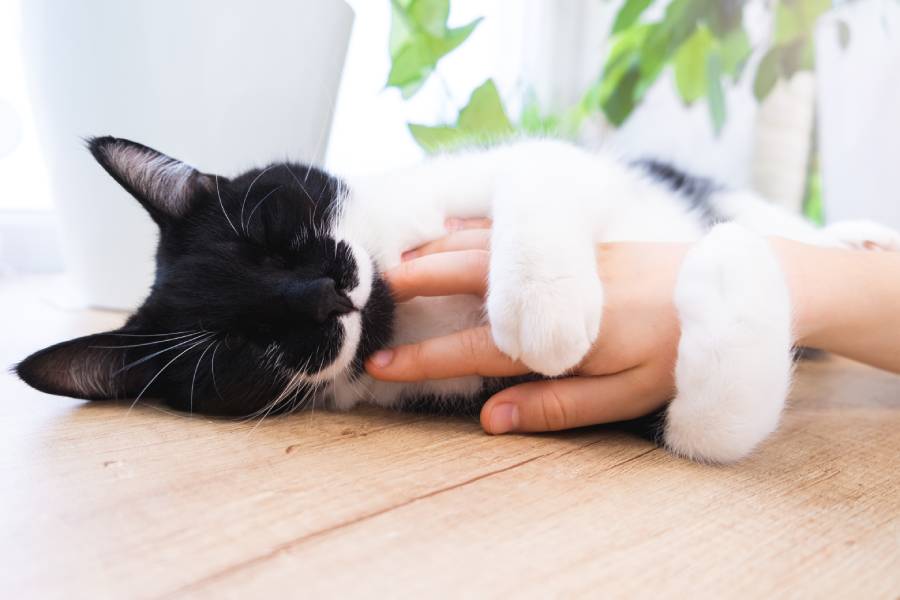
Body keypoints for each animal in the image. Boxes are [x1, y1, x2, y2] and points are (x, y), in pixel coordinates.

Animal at [14, 137, 900, 464]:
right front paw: (730, 268)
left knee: (770, 214)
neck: (405, 313)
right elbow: (714, 426)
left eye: (272, 231)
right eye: (235, 348)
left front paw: (542, 298)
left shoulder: (532, 164)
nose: (322, 295)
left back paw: (852, 238)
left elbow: (539, 166)